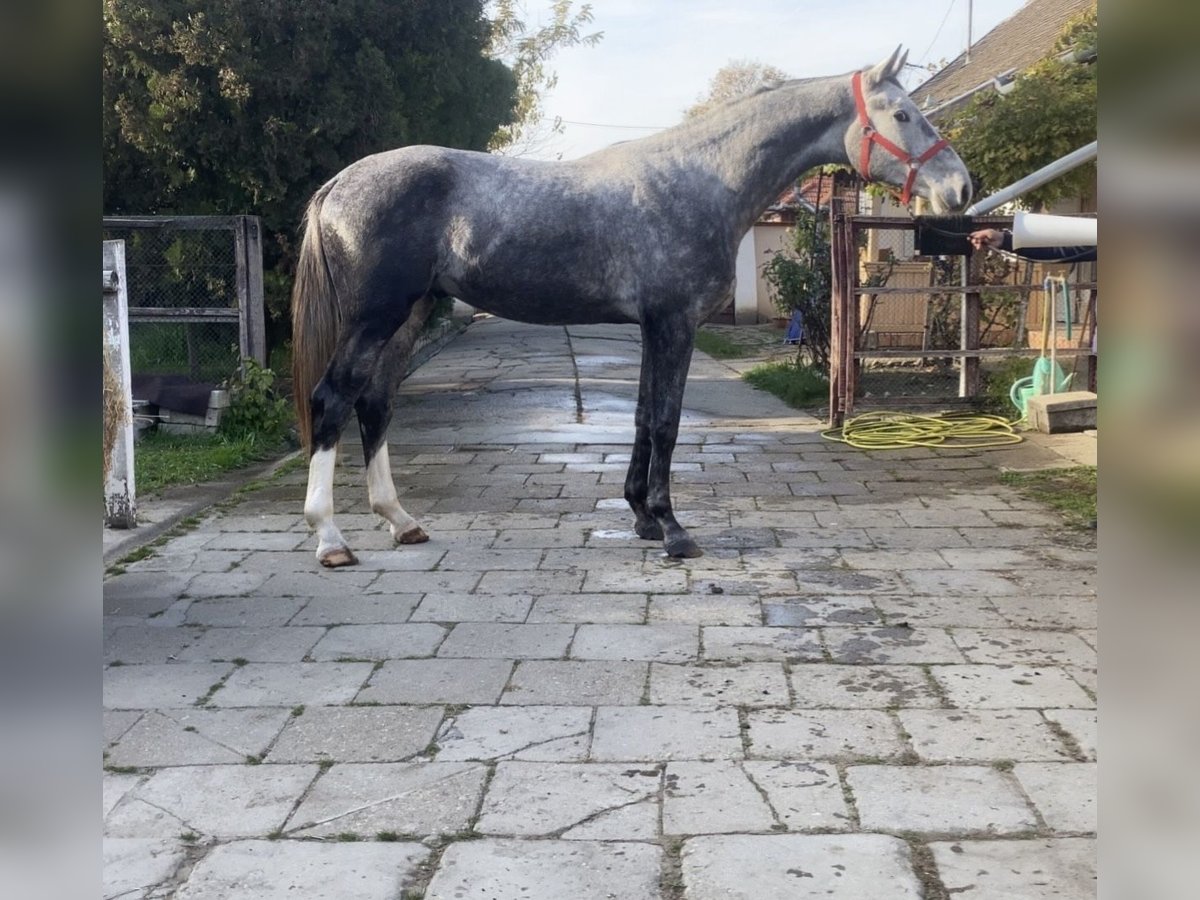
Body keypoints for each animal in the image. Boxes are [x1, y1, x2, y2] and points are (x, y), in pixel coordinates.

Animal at [292, 45, 974, 566]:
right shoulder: (674, 323)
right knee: (333, 399)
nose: (960, 188)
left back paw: (400, 520)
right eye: (903, 113)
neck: (701, 180)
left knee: (375, 405)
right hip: (375, 318)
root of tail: (338, 184)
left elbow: (645, 417)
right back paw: (331, 538)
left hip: (407, 318)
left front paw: (643, 516)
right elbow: (668, 423)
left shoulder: (651, 326)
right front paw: (673, 530)